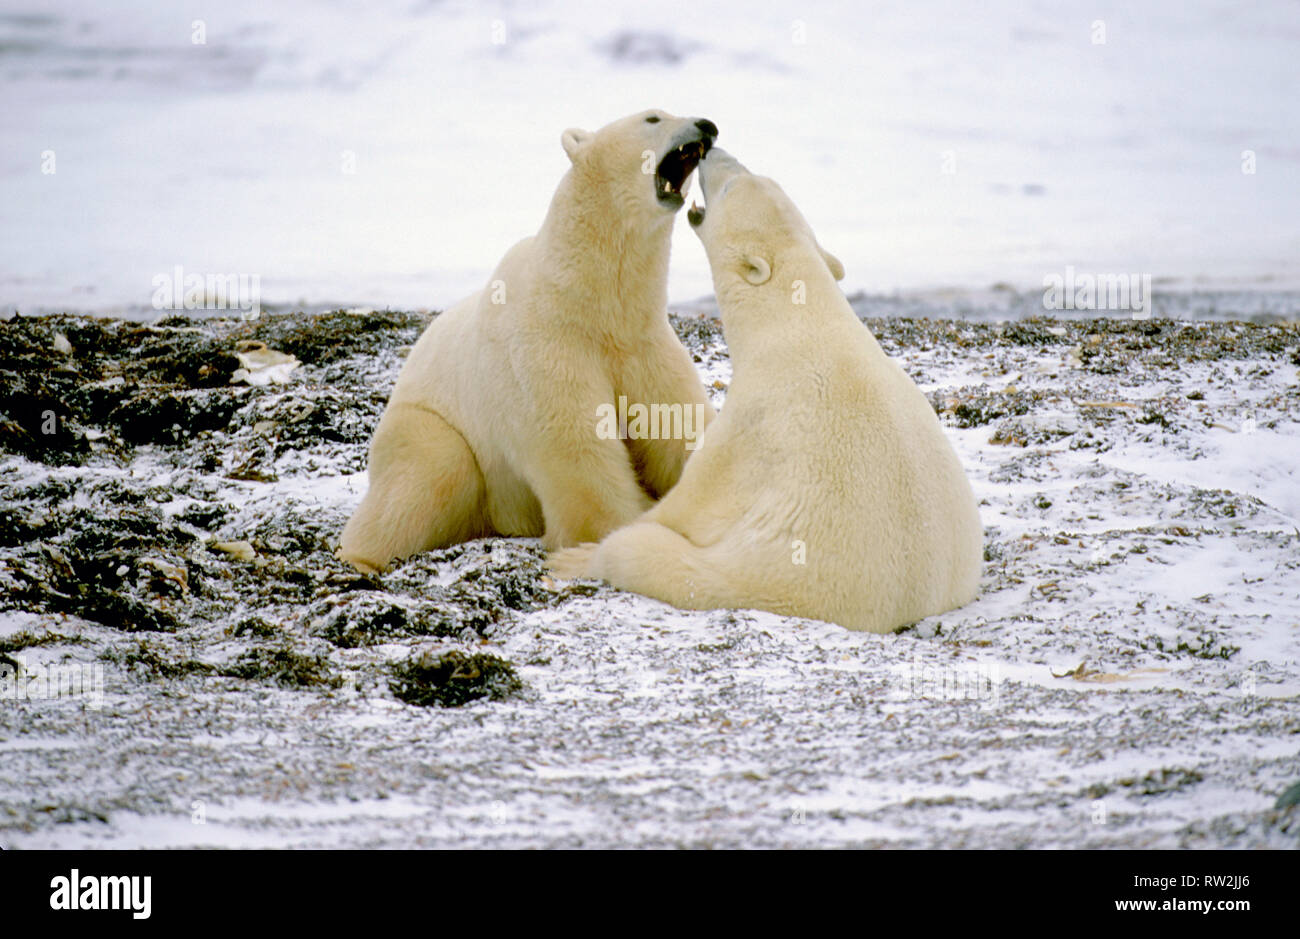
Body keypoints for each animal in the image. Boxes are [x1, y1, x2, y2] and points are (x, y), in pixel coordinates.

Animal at [338, 105, 722, 567]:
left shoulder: (643, 345)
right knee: (427, 476)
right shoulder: (544, 350)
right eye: (652, 117)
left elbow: (678, 423)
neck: (585, 301)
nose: (707, 125)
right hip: (427, 423)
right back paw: (359, 558)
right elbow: (576, 448)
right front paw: (615, 531)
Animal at [543, 148, 977, 629]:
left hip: (748, 579)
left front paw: (577, 552)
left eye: (734, 183)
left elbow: (691, 498)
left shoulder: (750, 422)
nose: (712, 149)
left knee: (643, 553)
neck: (798, 323)